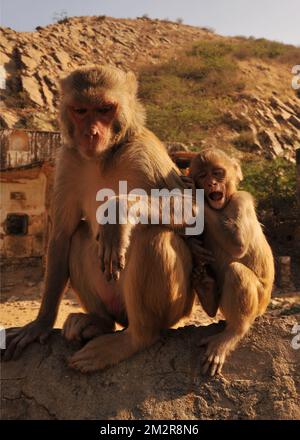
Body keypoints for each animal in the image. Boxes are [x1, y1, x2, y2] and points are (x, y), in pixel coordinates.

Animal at [4, 65, 206, 372]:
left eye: (104, 109)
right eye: (81, 110)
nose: (91, 133)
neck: (104, 156)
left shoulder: (144, 152)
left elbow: (192, 209)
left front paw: (118, 211)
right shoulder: (67, 160)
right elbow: (62, 235)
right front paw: (40, 324)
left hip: (178, 307)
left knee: (152, 235)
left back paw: (134, 338)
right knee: (80, 236)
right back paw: (98, 322)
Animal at [183, 150, 274, 376]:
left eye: (217, 173)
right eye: (203, 176)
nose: (211, 184)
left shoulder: (241, 200)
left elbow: (238, 244)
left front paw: (195, 196)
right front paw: (193, 245)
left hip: (260, 303)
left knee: (236, 271)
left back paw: (233, 332)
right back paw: (207, 289)